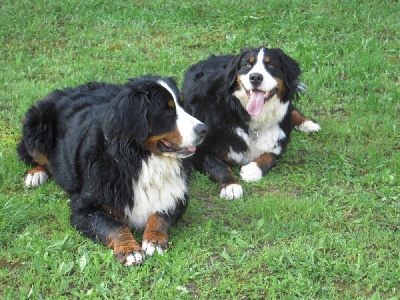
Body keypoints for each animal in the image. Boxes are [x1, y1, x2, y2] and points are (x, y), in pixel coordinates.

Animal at [17, 76, 208, 266]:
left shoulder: (176, 197)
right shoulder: (84, 209)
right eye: (167, 110)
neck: (140, 159)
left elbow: (159, 216)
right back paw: (36, 174)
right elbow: (114, 225)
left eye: (182, 105)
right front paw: (129, 249)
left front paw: (154, 240)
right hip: (37, 123)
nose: (203, 129)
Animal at [183, 46, 320, 199]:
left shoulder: (279, 141)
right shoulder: (200, 150)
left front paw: (252, 170)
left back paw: (307, 123)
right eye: (247, 65)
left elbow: (270, 156)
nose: (255, 77)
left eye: (271, 65)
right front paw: (231, 186)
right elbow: (219, 166)